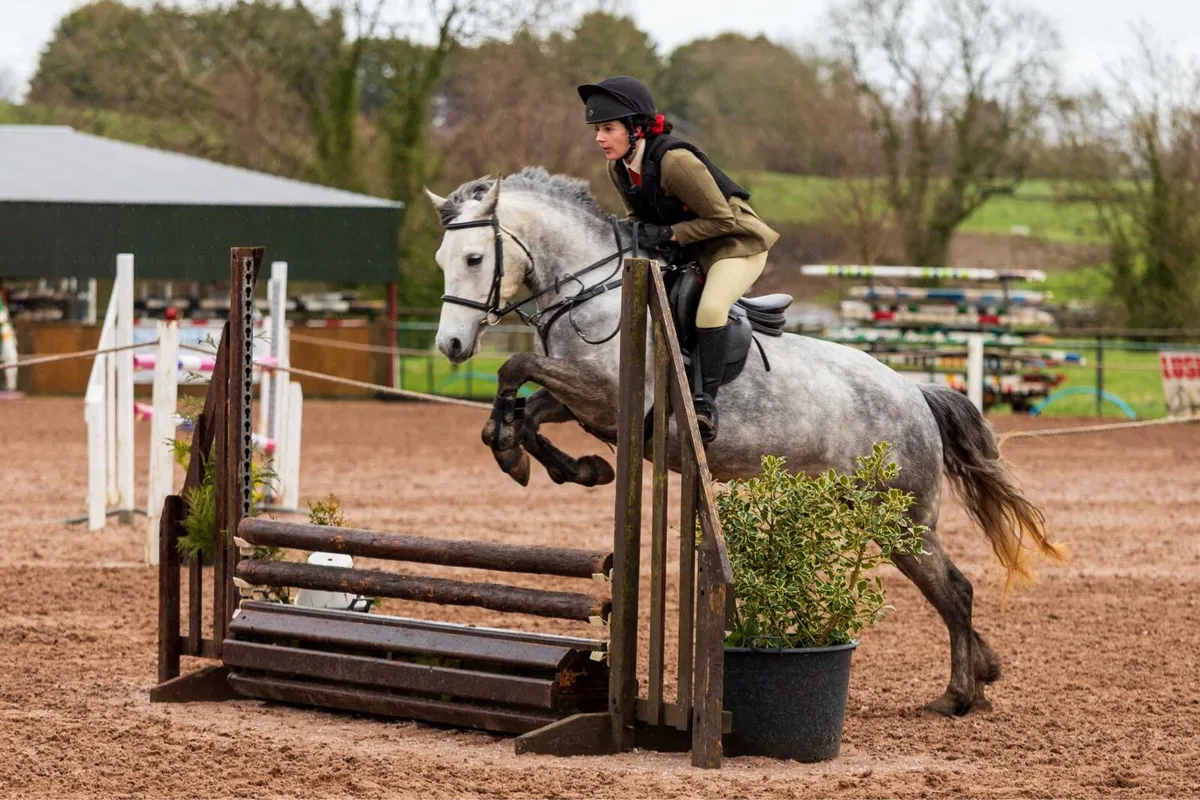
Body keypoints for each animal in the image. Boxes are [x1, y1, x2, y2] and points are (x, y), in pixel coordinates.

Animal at [422, 166, 1065, 717]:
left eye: (475, 258)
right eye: (441, 260)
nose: (451, 346)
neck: (592, 291)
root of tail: (915, 392)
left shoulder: (604, 392)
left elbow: (515, 369)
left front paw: (523, 453)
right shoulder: (586, 403)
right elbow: (528, 409)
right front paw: (555, 462)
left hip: (898, 514)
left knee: (954, 589)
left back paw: (956, 695)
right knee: (951, 591)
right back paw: (984, 675)